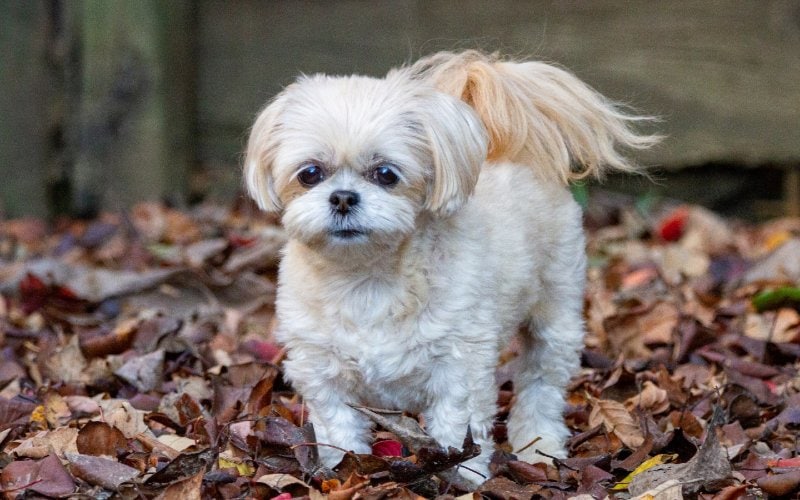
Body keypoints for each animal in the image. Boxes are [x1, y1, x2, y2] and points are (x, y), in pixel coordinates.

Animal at [244, 51, 656, 484]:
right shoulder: (321, 372)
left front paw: (464, 479)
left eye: (386, 174)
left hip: (555, 314)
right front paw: (344, 469)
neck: (367, 279)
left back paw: (539, 445)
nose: (342, 197)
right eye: (310, 173)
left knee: (541, 385)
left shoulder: (460, 367)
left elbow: (457, 428)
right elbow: (338, 427)